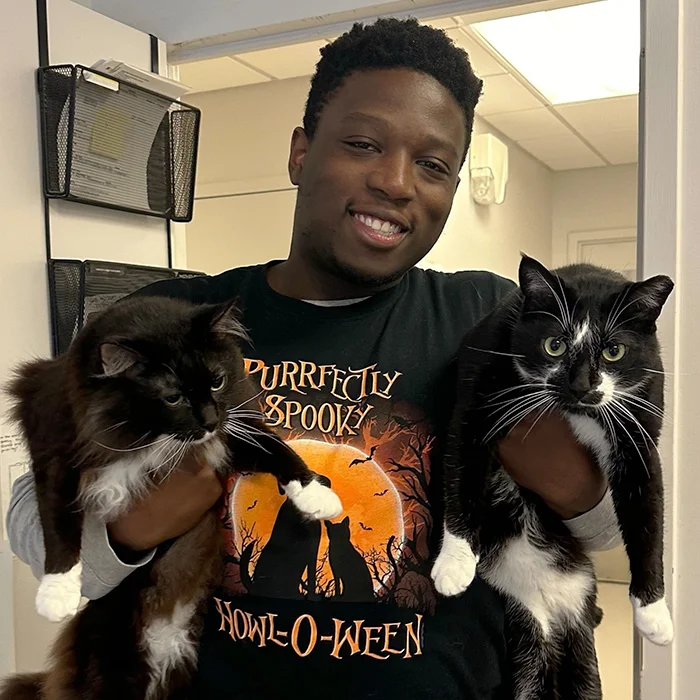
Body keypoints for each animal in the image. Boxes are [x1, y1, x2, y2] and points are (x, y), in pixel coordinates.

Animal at [0, 296, 340, 700]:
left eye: (217, 381)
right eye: (173, 397)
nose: (209, 420)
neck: (148, 436)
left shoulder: (232, 435)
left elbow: (278, 450)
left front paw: (318, 495)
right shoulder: (55, 454)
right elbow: (57, 523)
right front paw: (57, 594)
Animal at [432, 258, 672, 700]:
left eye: (614, 351)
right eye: (554, 345)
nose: (580, 385)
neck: (575, 411)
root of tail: (555, 608)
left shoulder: (642, 420)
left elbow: (648, 515)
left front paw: (654, 613)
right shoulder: (477, 392)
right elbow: (461, 472)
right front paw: (454, 563)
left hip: (579, 648)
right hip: (528, 641)